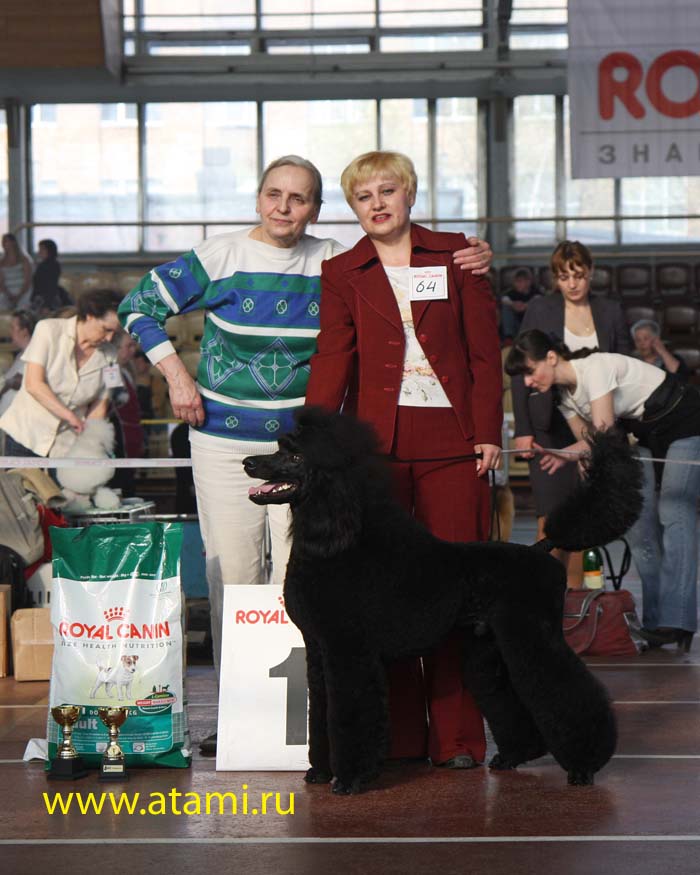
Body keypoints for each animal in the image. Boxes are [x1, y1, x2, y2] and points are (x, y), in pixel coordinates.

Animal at [243, 407, 643, 794]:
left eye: (295, 455)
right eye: (280, 447)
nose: (248, 462)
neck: (334, 543)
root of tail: (541, 549)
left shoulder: (348, 651)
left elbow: (349, 715)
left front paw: (350, 780)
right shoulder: (318, 649)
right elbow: (321, 713)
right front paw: (320, 772)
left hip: (532, 634)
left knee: (566, 690)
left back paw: (583, 768)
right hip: (488, 645)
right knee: (505, 692)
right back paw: (513, 756)